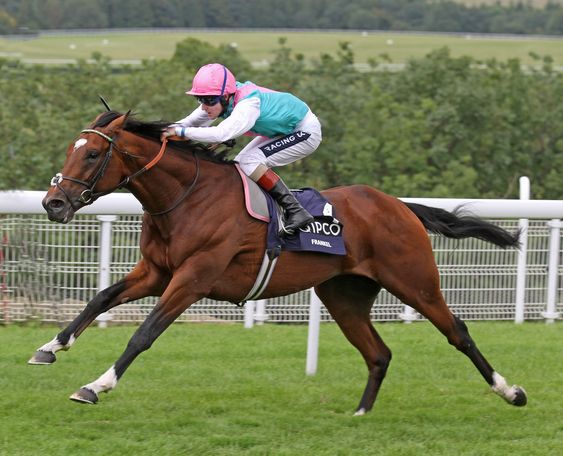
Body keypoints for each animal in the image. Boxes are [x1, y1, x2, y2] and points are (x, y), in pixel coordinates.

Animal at [27, 109, 528, 414]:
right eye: (73, 149)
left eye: (93, 153)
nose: (53, 203)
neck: (187, 197)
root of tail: (399, 206)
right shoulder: (156, 272)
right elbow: (100, 299)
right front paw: (49, 348)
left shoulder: (193, 278)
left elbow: (144, 333)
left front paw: (96, 385)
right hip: (344, 295)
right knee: (378, 353)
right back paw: (360, 413)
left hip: (414, 281)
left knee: (457, 331)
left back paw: (511, 391)